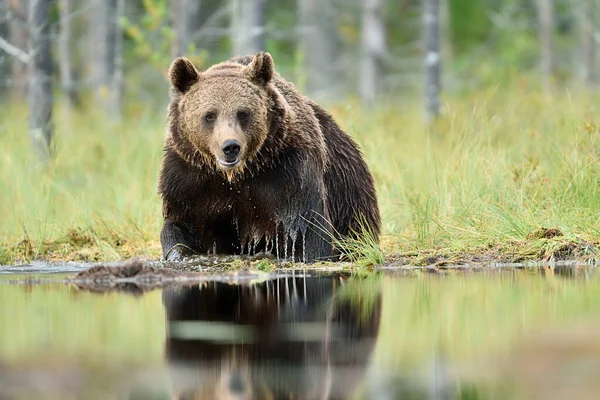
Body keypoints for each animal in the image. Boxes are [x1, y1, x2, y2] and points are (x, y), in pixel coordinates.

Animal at [159, 51, 380, 262]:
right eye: (209, 115)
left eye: (243, 113)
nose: (230, 147)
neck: (239, 173)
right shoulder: (189, 178)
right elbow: (181, 224)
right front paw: (180, 252)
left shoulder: (289, 173)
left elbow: (306, 231)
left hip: (348, 193)